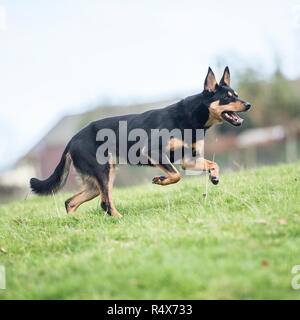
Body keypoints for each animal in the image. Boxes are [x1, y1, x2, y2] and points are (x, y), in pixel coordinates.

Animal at [31, 67, 251, 218]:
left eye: (236, 95)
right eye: (227, 98)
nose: (248, 104)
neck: (189, 117)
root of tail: (71, 141)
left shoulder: (189, 159)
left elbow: (213, 164)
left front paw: (214, 176)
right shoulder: (154, 152)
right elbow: (176, 175)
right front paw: (160, 180)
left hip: (95, 182)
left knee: (71, 202)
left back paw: (73, 224)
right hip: (103, 173)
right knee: (105, 203)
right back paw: (118, 218)